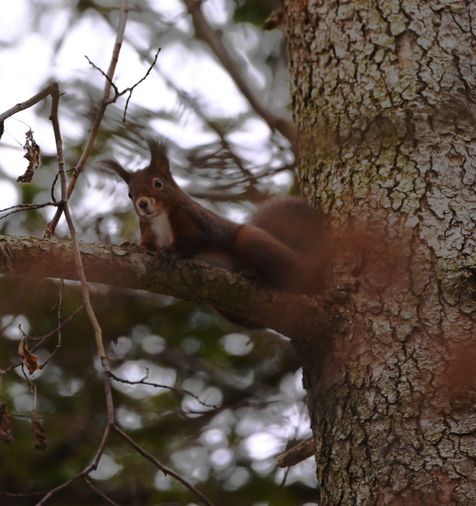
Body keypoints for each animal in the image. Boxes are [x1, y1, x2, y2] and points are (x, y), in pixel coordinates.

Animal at [104, 140, 326, 294]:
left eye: (158, 183)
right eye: (130, 194)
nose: (142, 204)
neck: (159, 217)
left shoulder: (190, 216)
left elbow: (198, 238)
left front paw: (169, 254)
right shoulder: (148, 228)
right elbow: (146, 246)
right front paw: (132, 245)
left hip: (258, 244)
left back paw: (257, 275)